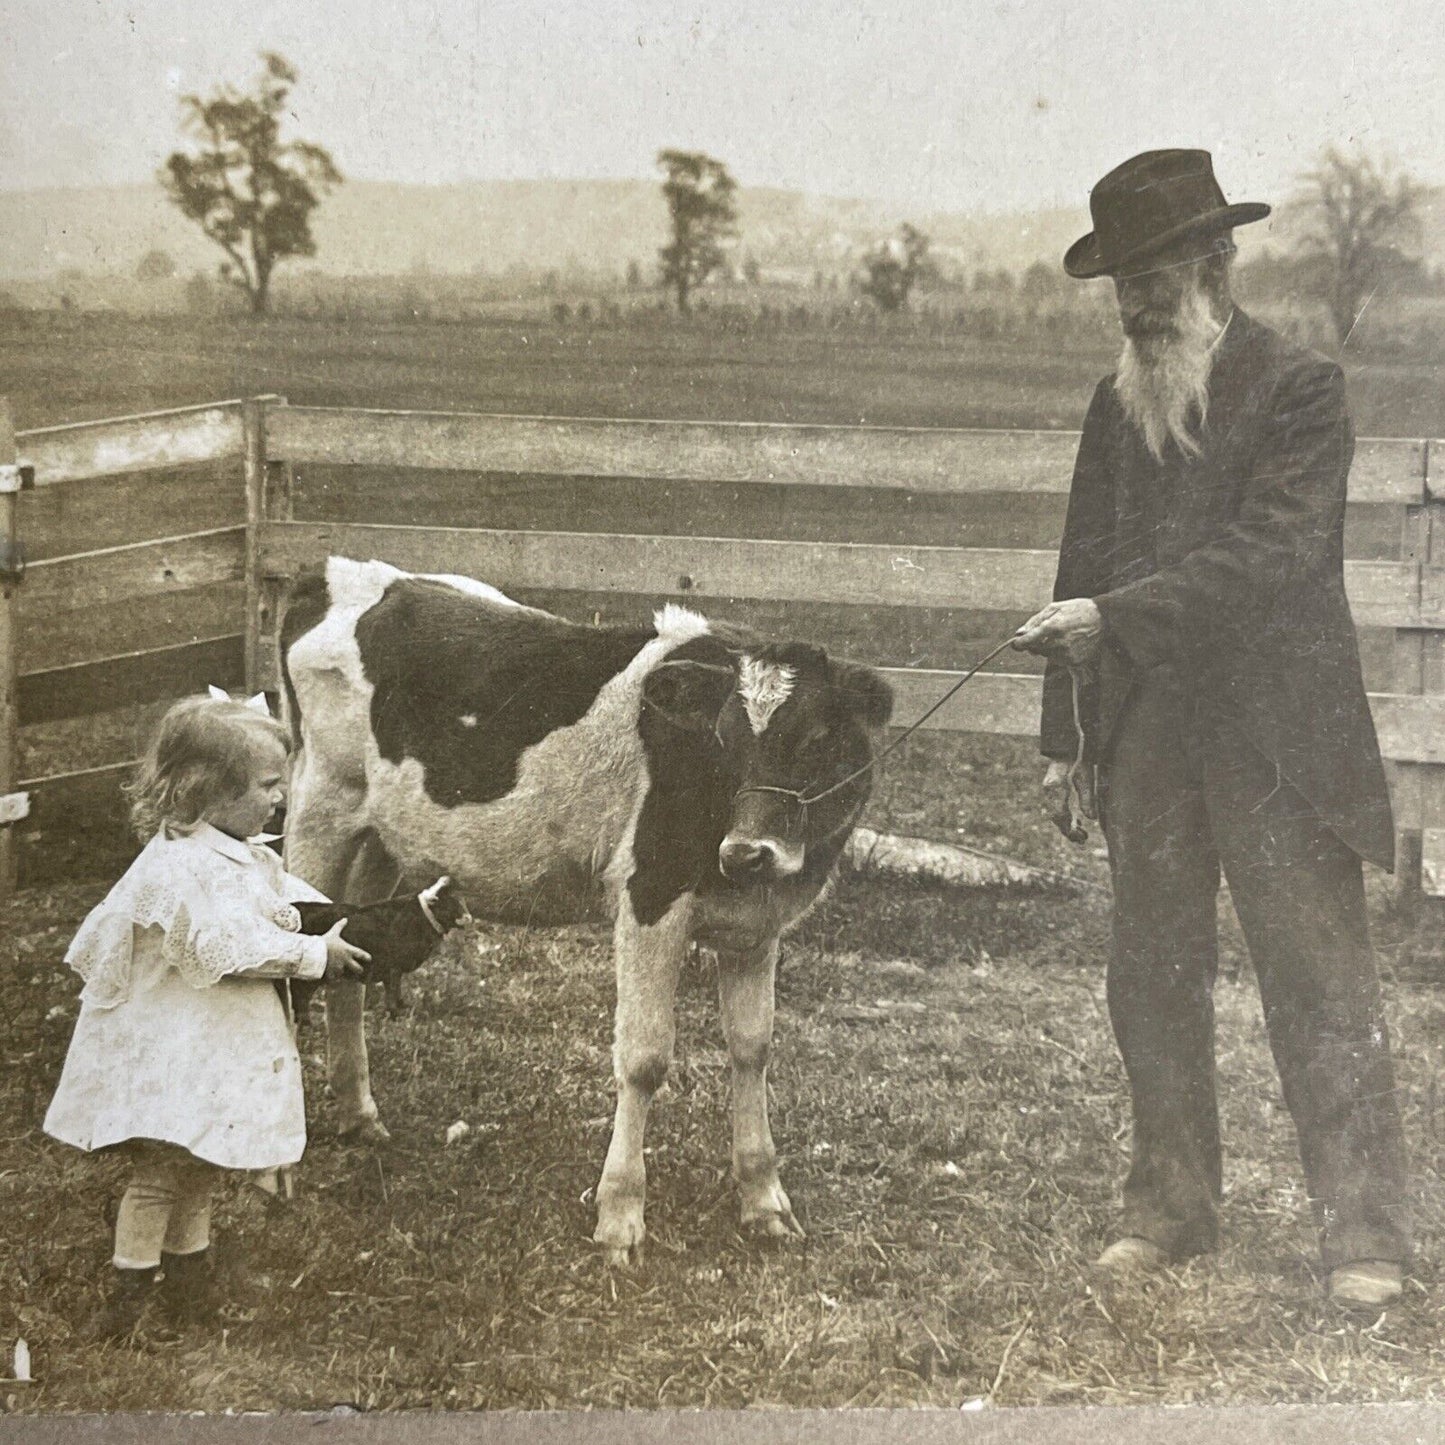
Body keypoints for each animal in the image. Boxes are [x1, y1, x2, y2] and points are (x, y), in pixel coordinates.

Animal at [274, 557, 884, 1260]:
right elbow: (644, 1059)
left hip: (377, 840)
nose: (747, 852)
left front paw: (764, 1201)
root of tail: (332, 570)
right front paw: (620, 1214)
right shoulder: (650, 897)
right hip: (320, 810)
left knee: (351, 960)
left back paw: (359, 1114)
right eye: (725, 741)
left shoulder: (758, 924)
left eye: (816, 739)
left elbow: (753, 1048)